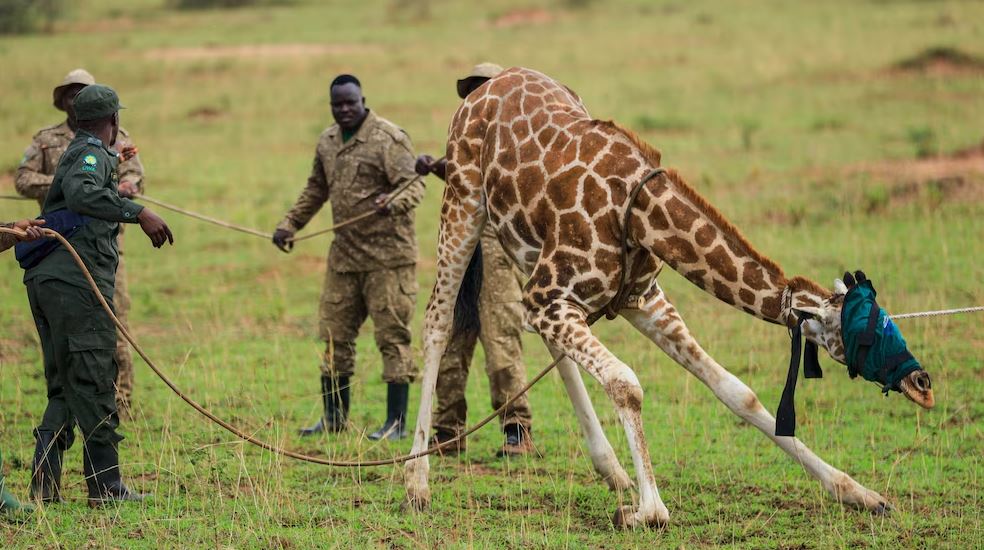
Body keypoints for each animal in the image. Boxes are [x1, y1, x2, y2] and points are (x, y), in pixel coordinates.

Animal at [404, 67, 935, 528]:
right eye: (867, 333)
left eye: (887, 318)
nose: (923, 385)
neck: (640, 213)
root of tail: (483, 84)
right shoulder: (552, 296)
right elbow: (626, 382)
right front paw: (648, 510)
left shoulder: (641, 301)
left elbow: (737, 392)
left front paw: (861, 494)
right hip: (464, 203)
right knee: (436, 323)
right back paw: (416, 481)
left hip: (524, 247)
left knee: (543, 339)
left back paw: (612, 470)